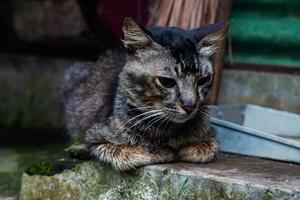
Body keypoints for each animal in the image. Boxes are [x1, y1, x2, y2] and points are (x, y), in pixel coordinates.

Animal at [63, 16, 227, 170]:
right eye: (166, 82)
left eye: (203, 80)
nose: (190, 106)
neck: (166, 130)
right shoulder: (95, 138)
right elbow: (130, 152)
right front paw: (165, 151)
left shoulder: (210, 134)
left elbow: (210, 146)